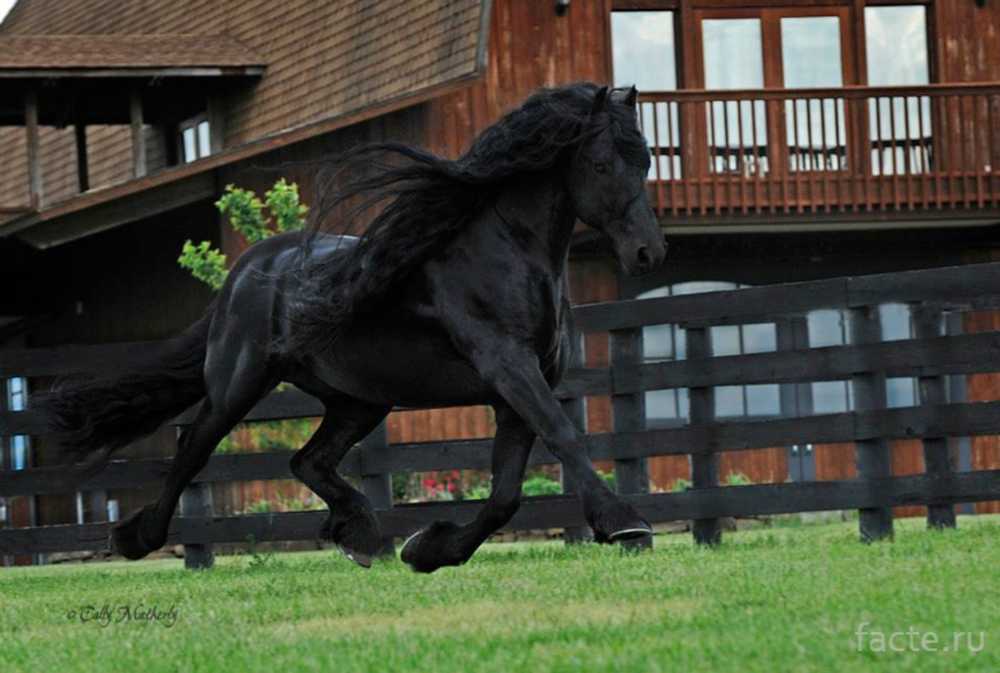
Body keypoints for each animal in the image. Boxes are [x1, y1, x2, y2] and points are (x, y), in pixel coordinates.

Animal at [41, 82, 667, 573]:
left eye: (645, 162)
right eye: (603, 164)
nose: (647, 253)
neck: (507, 252)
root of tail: (245, 271)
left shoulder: (514, 392)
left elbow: (506, 495)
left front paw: (427, 551)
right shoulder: (509, 369)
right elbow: (563, 437)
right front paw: (626, 524)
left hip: (360, 400)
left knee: (307, 460)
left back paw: (362, 536)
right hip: (237, 385)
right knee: (194, 446)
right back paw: (135, 537)